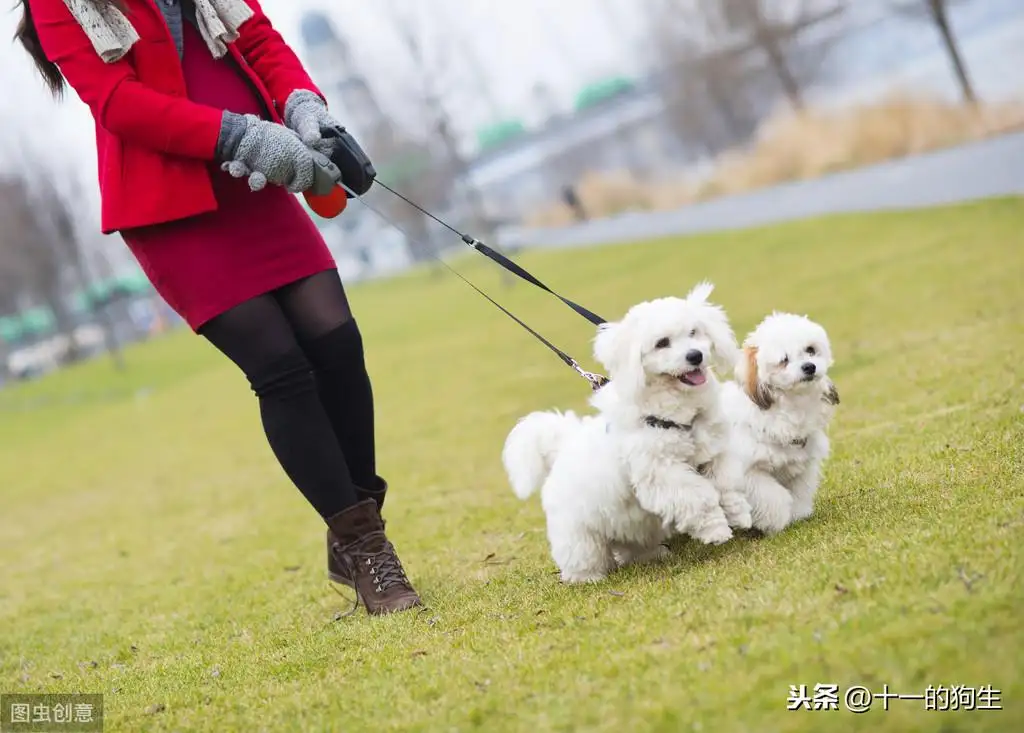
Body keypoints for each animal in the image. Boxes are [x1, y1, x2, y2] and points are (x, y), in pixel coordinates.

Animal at [501, 282, 753, 585]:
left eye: (694, 332)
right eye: (662, 343)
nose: (695, 355)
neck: (676, 414)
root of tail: (560, 452)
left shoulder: (714, 451)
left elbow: (726, 483)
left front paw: (739, 513)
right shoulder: (663, 473)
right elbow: (699, 497)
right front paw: (716, 530)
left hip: (629, 522)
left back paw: (652, 554)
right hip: (579, 533)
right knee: (583, 553)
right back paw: (588, 578)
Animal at [720, 311, 839, 536]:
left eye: (810, 350)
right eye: (784, 360)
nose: (809, 366)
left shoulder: (802, 464)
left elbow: (800, 490)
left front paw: (799, 514)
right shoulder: (749, 473)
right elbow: (771, 497)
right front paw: (776, 521)